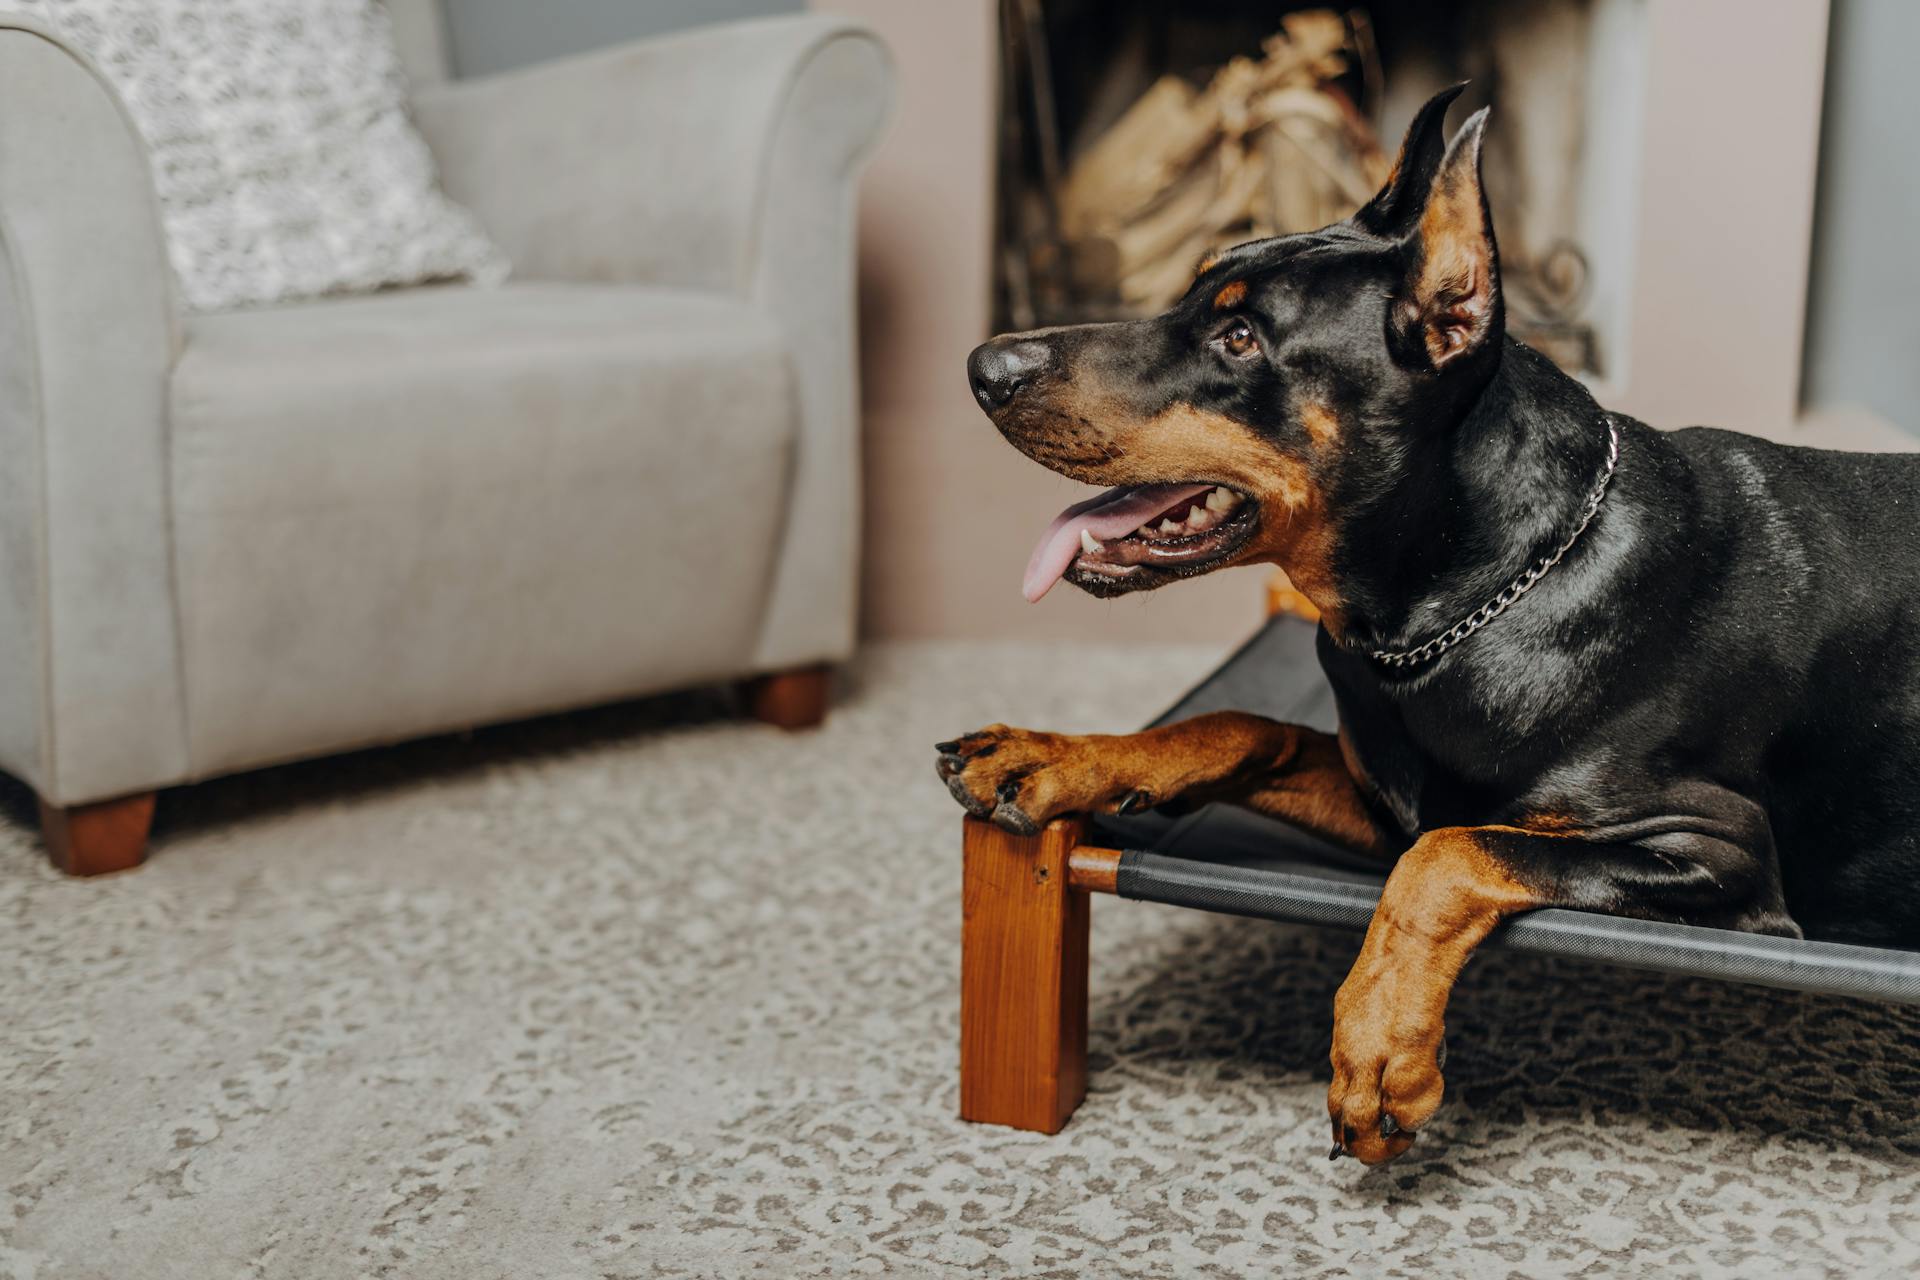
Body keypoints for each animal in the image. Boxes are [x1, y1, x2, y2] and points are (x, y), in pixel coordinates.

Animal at [933, 87, 1920, 1174]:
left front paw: (1379, 1053)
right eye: (1191, 295)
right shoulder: (1388, 794)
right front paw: (1051, 755)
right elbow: (1246, 725)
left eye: (1240, 341)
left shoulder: (1720, 856)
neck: (1473, 601)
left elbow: (1451, 853)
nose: (984, 362)